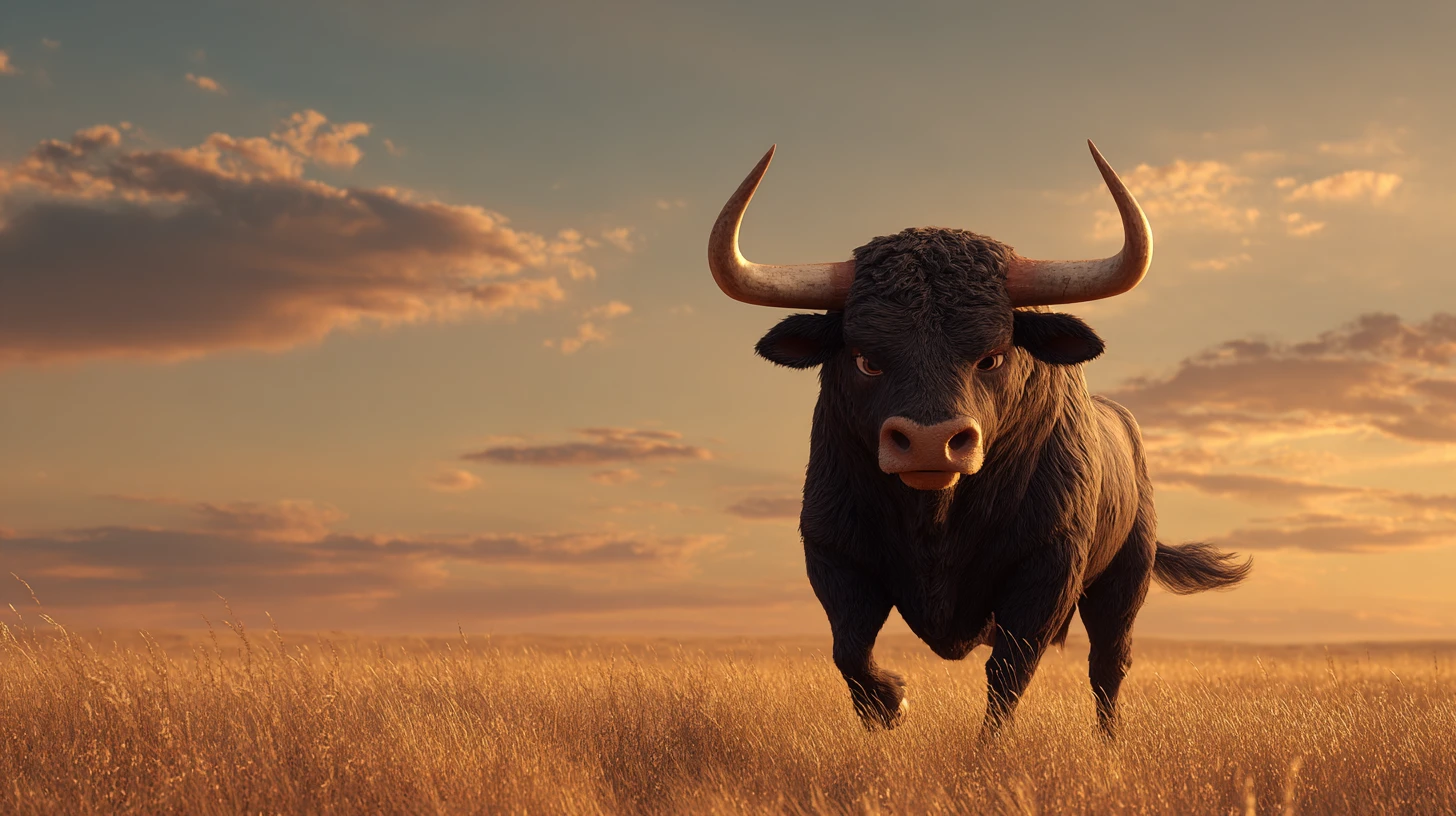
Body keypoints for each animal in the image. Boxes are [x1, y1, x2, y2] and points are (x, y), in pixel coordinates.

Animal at [707, 142, 1250, 737]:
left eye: (992, 356)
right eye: (866, 358)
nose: (930, 442)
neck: (937, 522)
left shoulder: (1047, 567)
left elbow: (1010, 670)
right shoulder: (833, 553)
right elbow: (849, 651)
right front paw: (894, 702)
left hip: (1124, 578)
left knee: (1109, 663)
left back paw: (1109, 741)